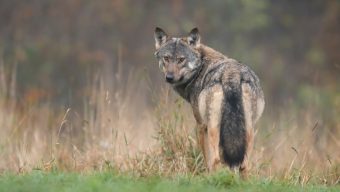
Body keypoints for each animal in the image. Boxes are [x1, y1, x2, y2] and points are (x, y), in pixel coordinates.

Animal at [153, 26, 264, 177]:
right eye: (166, 58)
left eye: (181, 59)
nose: (169, 77)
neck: (200, 67)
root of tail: (232, 75)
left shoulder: (201, 126)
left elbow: (207, 159)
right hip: (248, 129)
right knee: (244, 165)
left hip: (213, 128)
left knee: (216, 160)